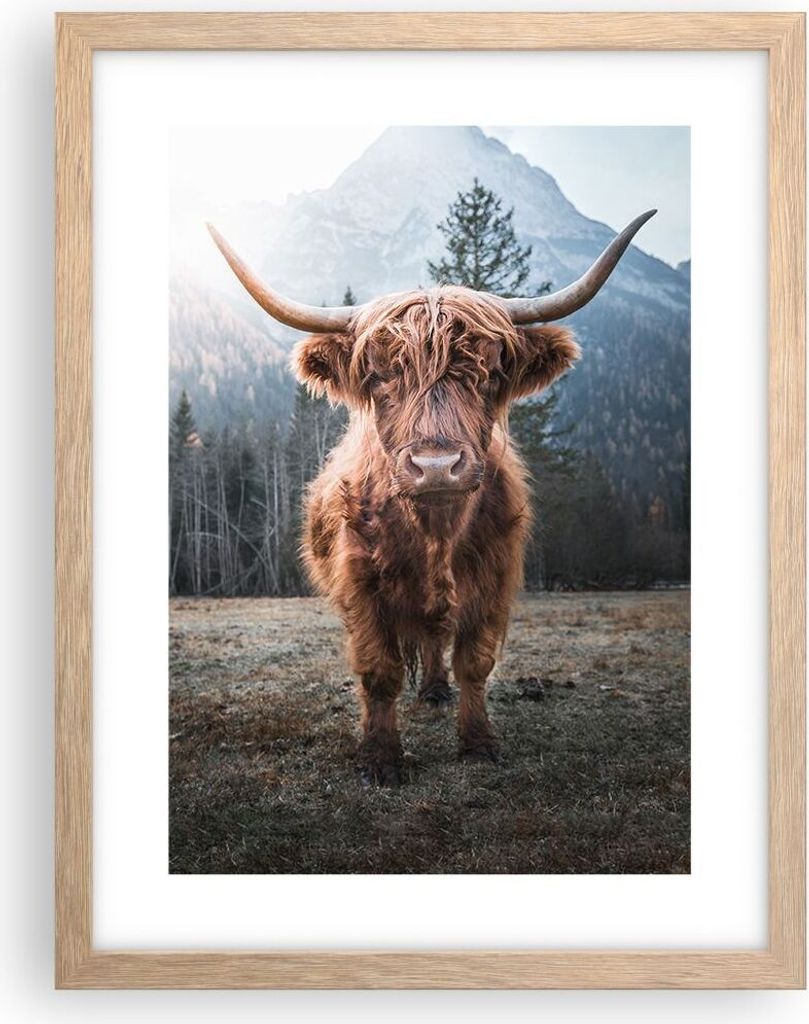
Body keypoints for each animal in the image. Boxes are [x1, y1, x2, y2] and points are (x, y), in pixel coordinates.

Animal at [208, 210, 655, 784]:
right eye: (378, 374)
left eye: (490, 371)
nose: (436, 466)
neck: (435, 533)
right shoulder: (361, 585)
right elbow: (379, 671)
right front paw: (380, 757)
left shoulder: (494, 578)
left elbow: (475, 662)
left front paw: (478, 742)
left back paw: (437, 690)